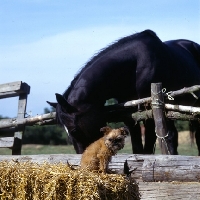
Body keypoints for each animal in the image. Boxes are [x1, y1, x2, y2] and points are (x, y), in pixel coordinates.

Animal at [48, 30, 200, 155]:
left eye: (73, 130)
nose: (81, 156)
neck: (135, 65)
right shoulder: (130, 116)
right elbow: (137, 146)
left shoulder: (150, 112)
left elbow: (149, 145)